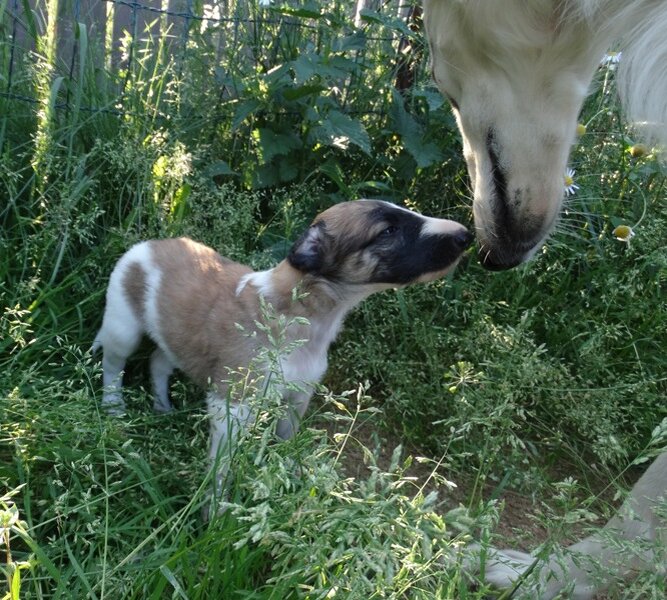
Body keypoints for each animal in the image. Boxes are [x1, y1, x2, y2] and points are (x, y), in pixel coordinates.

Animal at [94, 199, 472, 490]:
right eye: (388, 231)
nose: (466, 235)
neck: (299, 317)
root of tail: (148, 245)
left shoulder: (297, 396)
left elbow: (285, 442)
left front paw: (285, 474)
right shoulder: (233, 406)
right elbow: (222, 468)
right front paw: (214, 511)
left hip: (173, 336)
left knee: (158, 361)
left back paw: (162, 406)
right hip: (122, 327)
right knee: (113, 367)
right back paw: (113, 409)